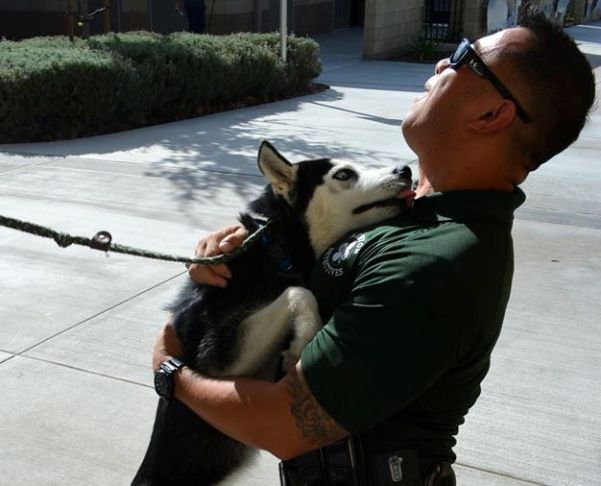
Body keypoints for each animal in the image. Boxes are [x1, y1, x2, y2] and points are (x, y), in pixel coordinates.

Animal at [131, 141, 412, 486]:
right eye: (344, 174)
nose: (406, 170)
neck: (278, 249)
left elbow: (297, 292)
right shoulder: (223, 360)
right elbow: (299, 292)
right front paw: (301, 342)